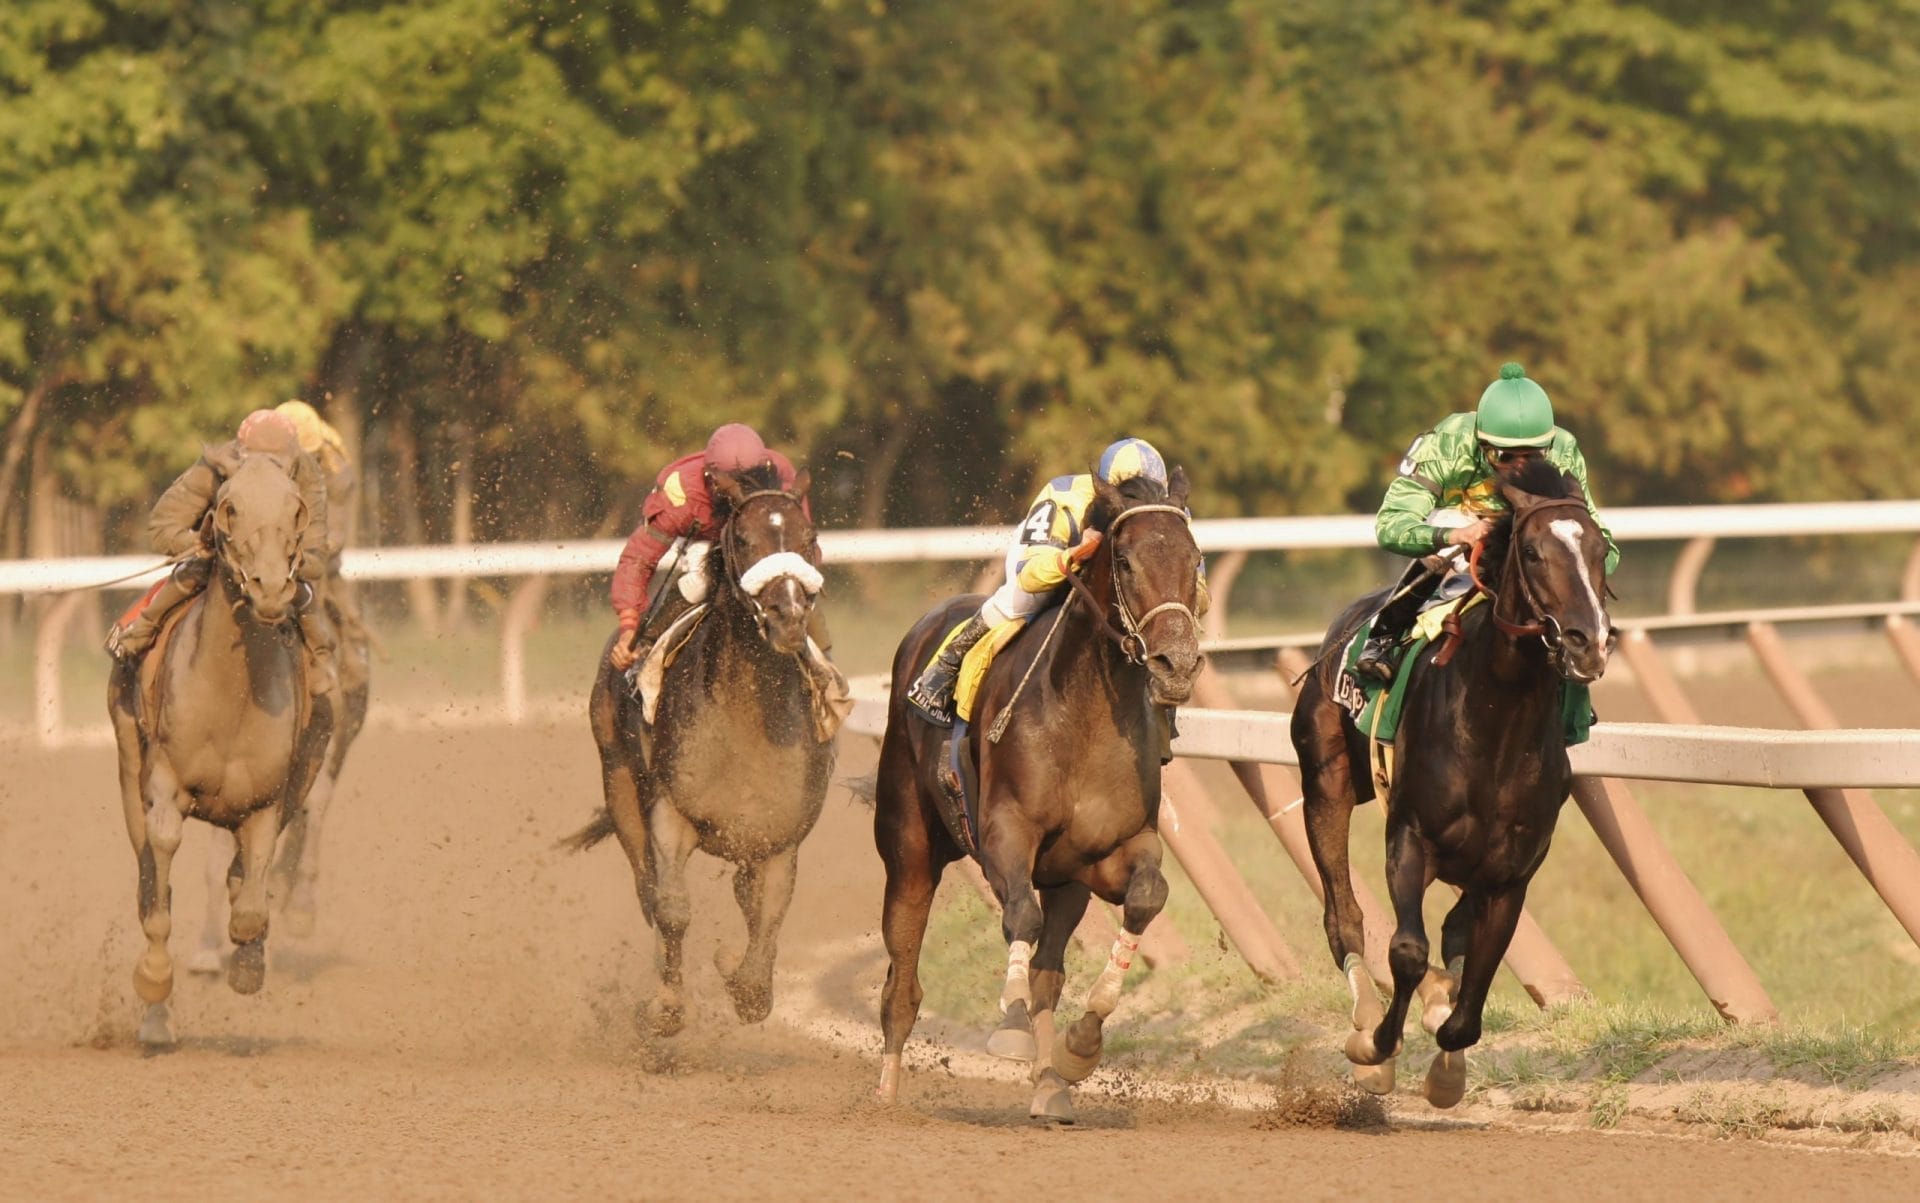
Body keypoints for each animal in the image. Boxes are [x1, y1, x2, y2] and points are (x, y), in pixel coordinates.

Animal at [106, 452, 332, 1043]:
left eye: (297, 509)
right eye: (228, 507)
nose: (271, 588)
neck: (231, 696)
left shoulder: (268, 800)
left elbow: (251, 897)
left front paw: (248, 965)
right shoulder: (164, 781)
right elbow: (160, 874)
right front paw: (155, 980)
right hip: (127, 765)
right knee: (147, 874)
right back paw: (157, 1020)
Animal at [568, 466, 840, 1043]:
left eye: (809, 538)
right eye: (743, 539)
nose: (788, 615)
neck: (748, 716)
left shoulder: (779, 834)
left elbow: (768, 913)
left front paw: (743, 980)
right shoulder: (672, 811)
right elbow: (671, 908)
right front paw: (667, 1007)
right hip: (618, 778)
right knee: (646, 887)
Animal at [875, 466, 1198, 1128]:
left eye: (1195, 558)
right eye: (1124, 561)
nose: (1176, 664)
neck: (1085, 718)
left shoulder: (1110, 850)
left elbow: (1146, 896)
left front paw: (1080, 1046)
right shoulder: (1006, 833)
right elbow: (1019, 915)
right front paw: (1011, 1027)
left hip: (1066, 879)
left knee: (1048, 966)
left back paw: (1050, 1084)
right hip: (909, 848)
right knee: (903, 978)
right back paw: (887, 1094)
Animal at [1290, 458, 1620, 1112]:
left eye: (1600, 549)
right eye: (1534, 552)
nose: (1587, 642)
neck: (1496, 722)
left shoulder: (1511, 873)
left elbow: (1470, 998)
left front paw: (1446, 1065)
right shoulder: (1410, 838)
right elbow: (1407, 951)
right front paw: (1376, 1050)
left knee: (1450, 933)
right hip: (1326, 782)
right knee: (1344, 915)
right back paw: (1364, 1019)